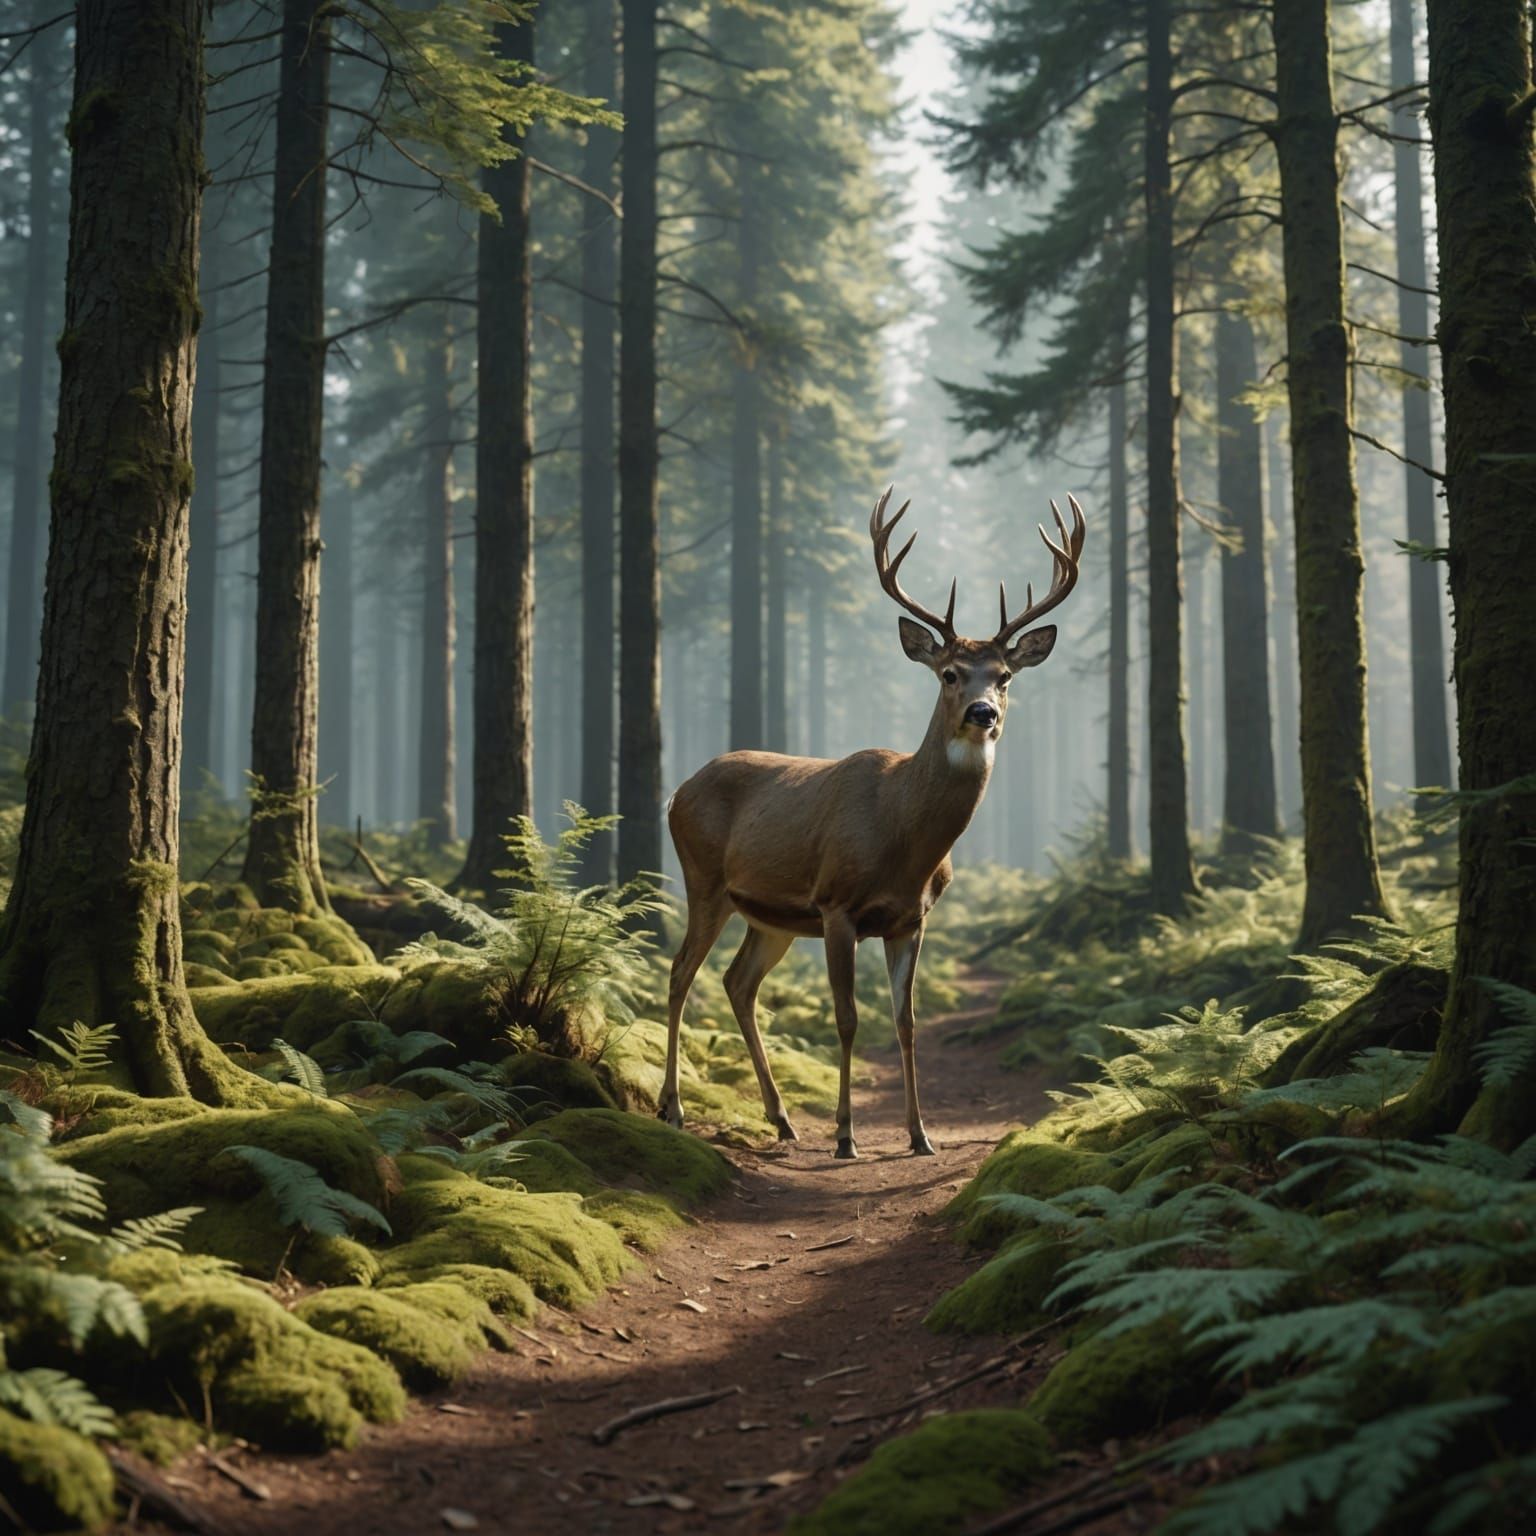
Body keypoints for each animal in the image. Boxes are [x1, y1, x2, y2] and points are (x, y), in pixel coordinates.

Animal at [660, 486, 1086, 1158]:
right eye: (949, 673)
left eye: (1005, 676)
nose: (983, 713)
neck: (903, 839)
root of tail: (677, 792)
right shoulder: (837, 904)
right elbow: (848, 1017)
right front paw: (845, 1135)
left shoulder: (911, 918)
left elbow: (905, 1021)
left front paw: (920, 1134)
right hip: (702, 879)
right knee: (680, 975)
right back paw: (673, 1108)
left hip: (770, 917)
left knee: (737, 982)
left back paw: (782, 1119)